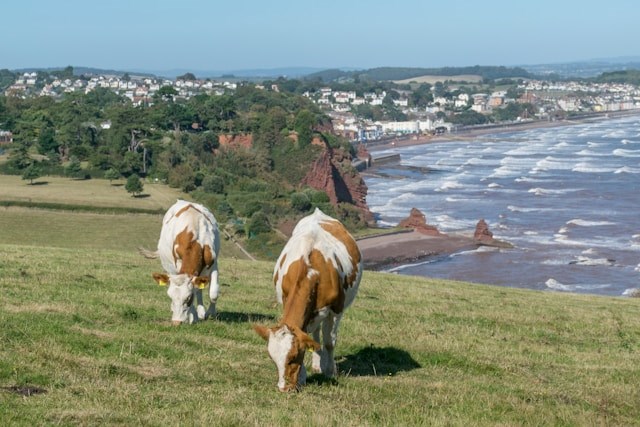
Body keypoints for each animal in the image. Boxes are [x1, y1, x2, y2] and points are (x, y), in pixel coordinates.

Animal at [252, 209, 360, 392]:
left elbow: (329, 342)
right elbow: (308, 338)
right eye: (272, 358)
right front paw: (303, 377)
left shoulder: (336, 310)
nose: (284, 388)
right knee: (315, 335)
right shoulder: (287, 301)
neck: (311, 269)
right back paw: (316, 364)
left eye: (294, 356)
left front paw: (330, 372)